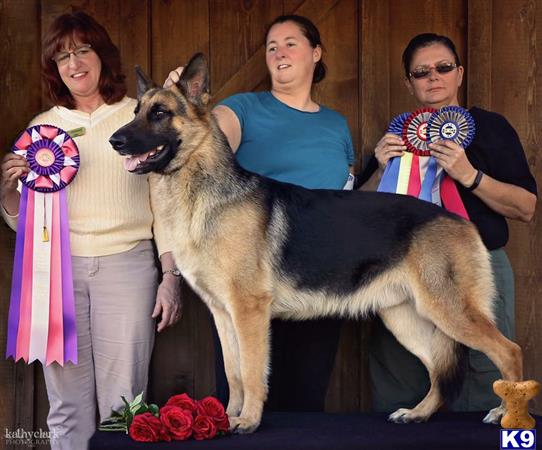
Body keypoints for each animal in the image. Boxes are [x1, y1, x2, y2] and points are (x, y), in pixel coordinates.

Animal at [109, 54, 524, 434]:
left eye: (160, 113)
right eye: (136, 111)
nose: (115, 140)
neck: (204, 191)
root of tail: (461, 221)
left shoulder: (249, 313)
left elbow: (253, 372)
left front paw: (249, 421)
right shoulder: (224, 315)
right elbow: (234, 373)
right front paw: (227, 417)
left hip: (450, 311)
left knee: (509, 351)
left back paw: (506, 414)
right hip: (407, 318)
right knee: (439, 369)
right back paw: (418, 413)